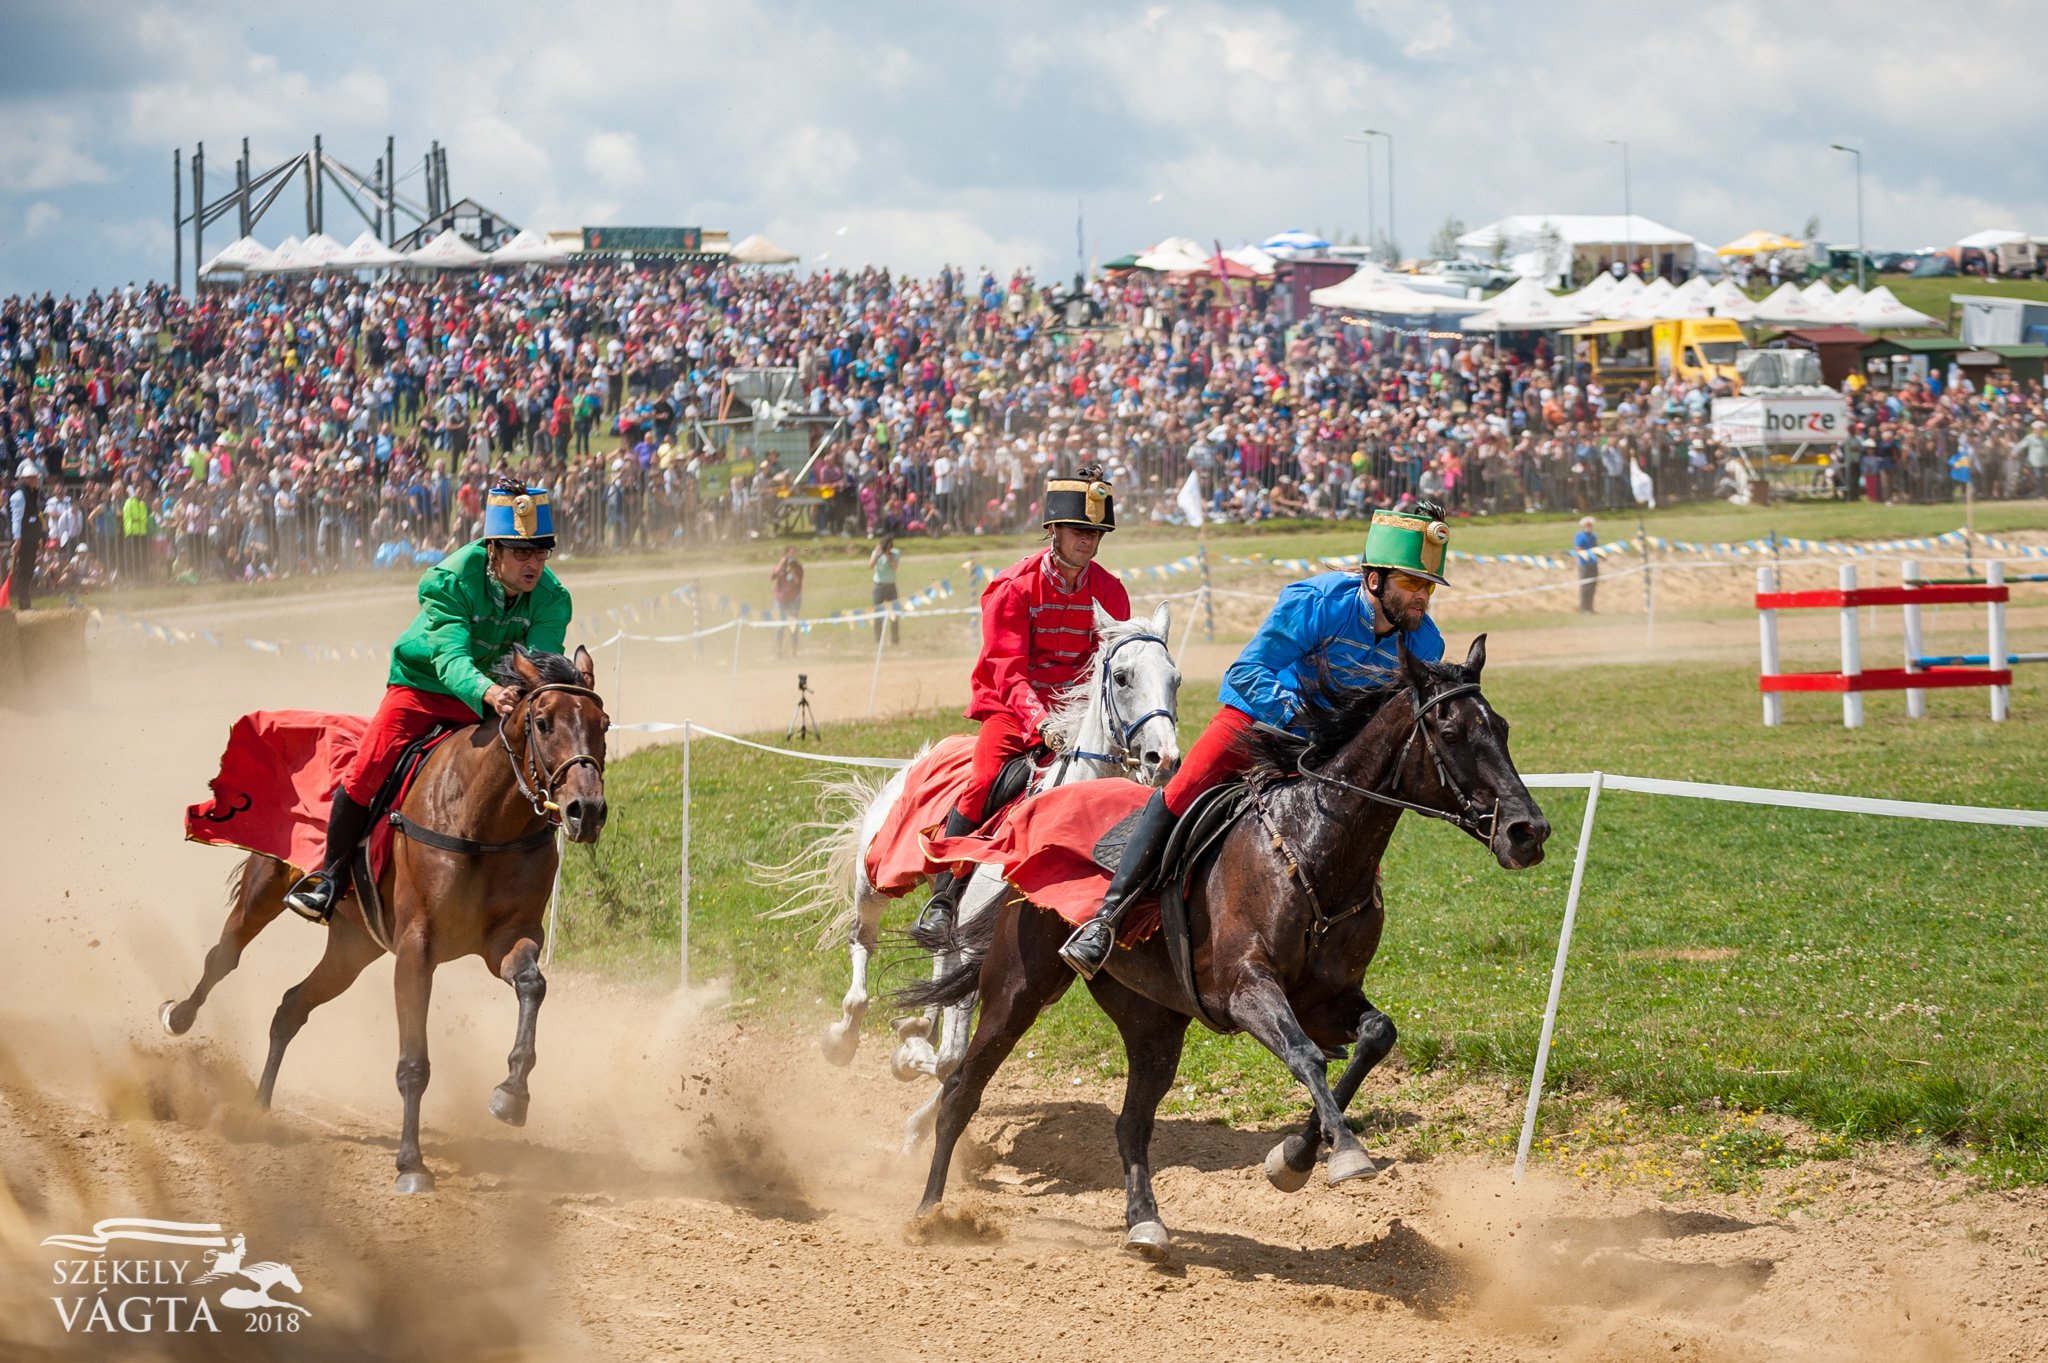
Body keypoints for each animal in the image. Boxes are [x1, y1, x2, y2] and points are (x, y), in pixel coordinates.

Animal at [161, 646, 606, 1186]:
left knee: (291, 1006)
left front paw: (511, 1093)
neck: (485, 821)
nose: (587, 810)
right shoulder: (416, 948)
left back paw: (258, 1107)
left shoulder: (508, 938)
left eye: (603, 723)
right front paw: (411, 1162)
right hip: (265, 888)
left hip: (353, 946)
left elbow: (531, 984)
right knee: (223, 957)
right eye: (542, 723)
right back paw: (179, 1016)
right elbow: (413, 1061)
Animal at [757, 601, 1179, 1137]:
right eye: (1122, 677)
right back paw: (844, 1035)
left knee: (935, 955)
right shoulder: (976, 951)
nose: (1164, 759)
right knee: (863, 945)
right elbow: (949, 1059)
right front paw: (907, 1060)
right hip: (876, 875)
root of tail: (924, 753)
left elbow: (955, 1057)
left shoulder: (1023, 976)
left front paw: (916, 1103)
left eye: (1175, 679)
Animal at [905, 638, 1540, 1252]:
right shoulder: (1247, 990)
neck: (1312, 851)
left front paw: (1297, 1156)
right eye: (1451, 733)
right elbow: (1305, 1055)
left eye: (1504, 728)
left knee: (1131, 1123)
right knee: (960, 1090)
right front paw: (1341, 1154)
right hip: (1018, 989)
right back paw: (929, 1211)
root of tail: (1029, 821)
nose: (1528, 831)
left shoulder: (1327, 1000)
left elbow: (1376, 1037)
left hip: (1153, 1022)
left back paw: (1145, 1224)